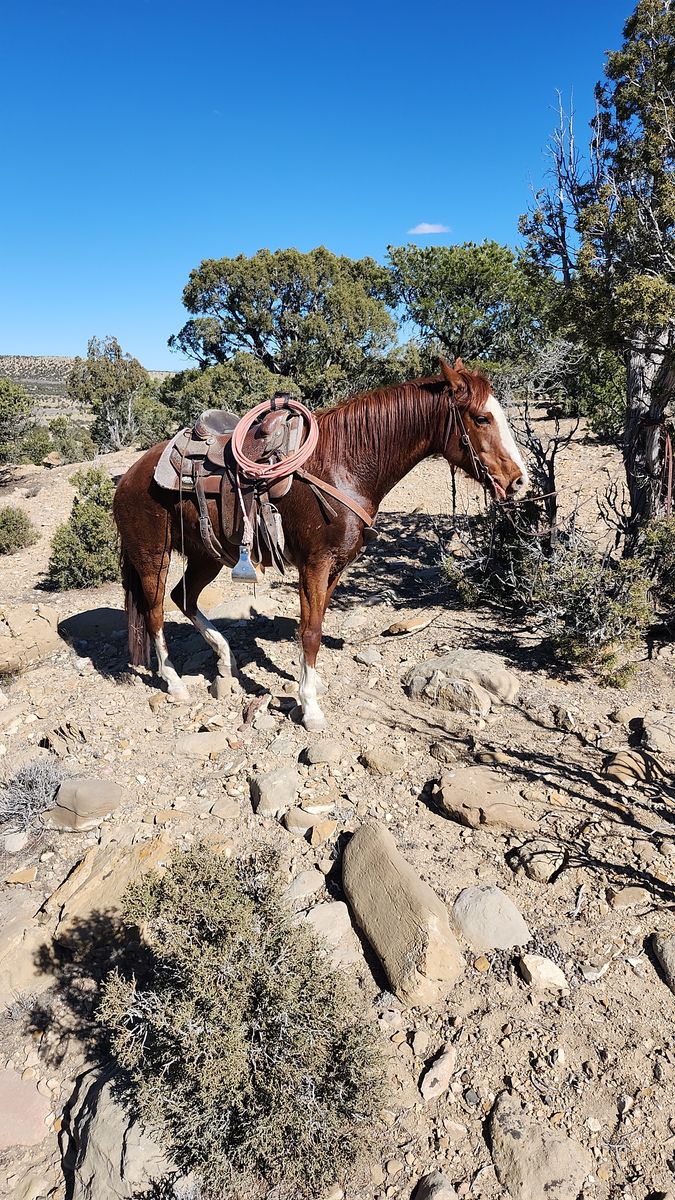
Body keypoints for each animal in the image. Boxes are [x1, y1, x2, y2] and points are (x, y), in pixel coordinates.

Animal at [112, 357, 529, 731]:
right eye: (482, 418)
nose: (519, 481)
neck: (343, 466)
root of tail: (127, 476)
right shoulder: (315, 563)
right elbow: (310, 632)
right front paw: (310, 707)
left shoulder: (336, 567)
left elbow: (315, 623)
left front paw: (309, 684)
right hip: (153, 557)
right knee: (155, 612)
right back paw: (175, 683)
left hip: (207, 555)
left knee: (183, 598)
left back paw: (225, 659)